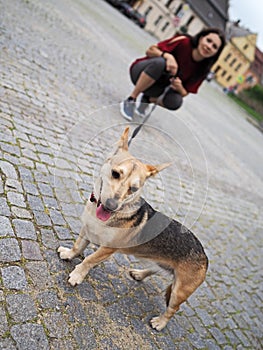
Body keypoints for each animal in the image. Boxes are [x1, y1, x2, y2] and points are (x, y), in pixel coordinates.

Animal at [57, 127, 208, 330]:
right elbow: (77, 247)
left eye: (134, 189)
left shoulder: (107, 249)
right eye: (115, 174)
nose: (111, 206)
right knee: (154, 269)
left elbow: (88, 260)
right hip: (160, 264)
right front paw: (69, 255)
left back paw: (160, 322)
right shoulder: (86, 230)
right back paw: (139, 274)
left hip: (179, 291)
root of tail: (204, 255)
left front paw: (77, 275)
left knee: (172, 309)